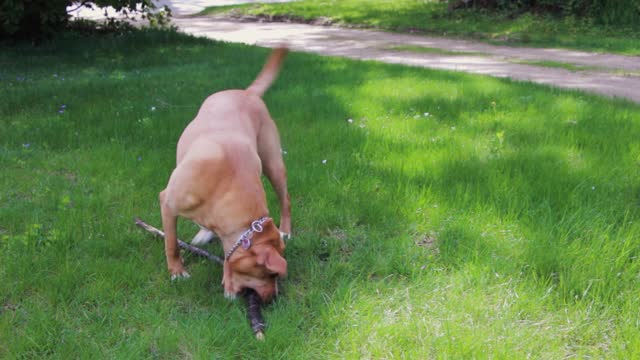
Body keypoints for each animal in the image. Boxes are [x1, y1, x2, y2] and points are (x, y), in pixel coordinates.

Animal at [159, 46, 292, 302]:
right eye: (269, 274)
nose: (273, 298)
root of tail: (247, 93)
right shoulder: (167, 203)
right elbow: (171, 243)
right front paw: (177, 271)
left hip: (273, 164)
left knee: (285, 199)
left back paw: (286, 230)